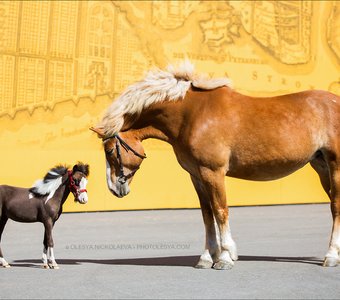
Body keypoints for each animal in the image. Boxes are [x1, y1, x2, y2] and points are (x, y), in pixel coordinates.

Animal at [91, 61, 340, 270]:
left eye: (109, 150)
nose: (114, 188)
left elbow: (220, 211)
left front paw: (226, 257)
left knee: (336, 207)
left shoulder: (213, 172)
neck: (192, 115)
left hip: (335, 166)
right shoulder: (197, 175)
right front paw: (207, 257)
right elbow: (207, 214)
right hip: (321, 167)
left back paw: (331, 256)